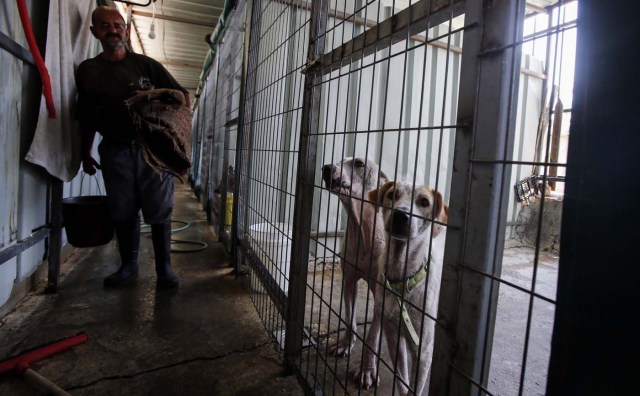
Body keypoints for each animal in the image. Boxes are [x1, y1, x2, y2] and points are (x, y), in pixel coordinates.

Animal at [322, 156, 388, 382]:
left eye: (359, 163)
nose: (326, 167)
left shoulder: (382, 294)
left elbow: (373, 335)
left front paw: (367, 369)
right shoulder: (349, 281)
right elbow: (350, 319)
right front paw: (344, 345)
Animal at [364, 181, 450, 394]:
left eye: (424, 202)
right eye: (392, 195)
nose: (400, 215)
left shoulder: (423, 350)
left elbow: (414, 388)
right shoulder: (394, 335)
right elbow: (402, 382)